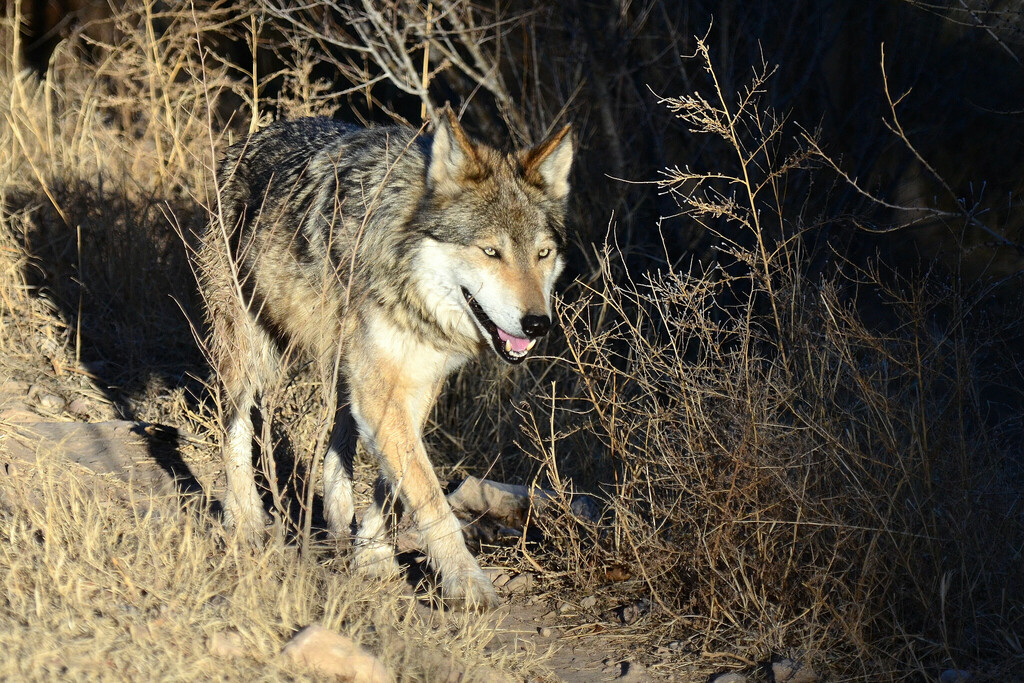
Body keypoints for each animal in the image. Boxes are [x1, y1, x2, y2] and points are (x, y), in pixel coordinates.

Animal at [197, 108, 573, 609]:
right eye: (491, 251)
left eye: (542, 253)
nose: (537, 325)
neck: (403, 263)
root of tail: (253, 137)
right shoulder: (381, 391)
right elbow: (429, 495)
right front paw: (468, 584)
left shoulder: (416, 382)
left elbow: (392, 484)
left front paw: (372, 557)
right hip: (249, 353)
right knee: (236, 426)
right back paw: (246, 522)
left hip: (344, 365)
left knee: (338, 438)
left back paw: (338, 521)